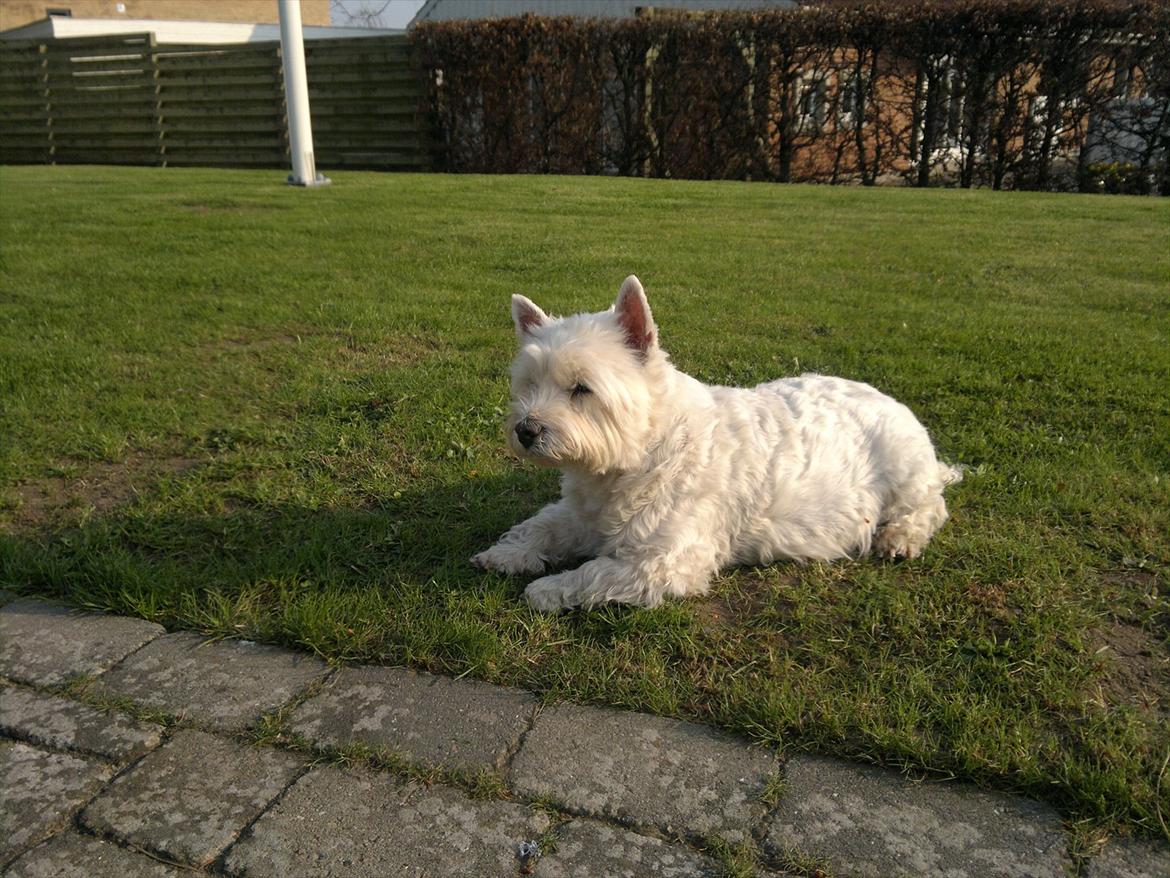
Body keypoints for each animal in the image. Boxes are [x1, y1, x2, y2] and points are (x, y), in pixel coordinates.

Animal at [475, 276, 959, 613]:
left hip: (904, 474)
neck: (639, 456)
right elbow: (542, 525)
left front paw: (545, 588)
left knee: (930, 507)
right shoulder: (581, 515)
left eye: (581, 388)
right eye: (529, 384)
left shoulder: (663, 561)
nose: (526, 430)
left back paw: (898, 538)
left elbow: (592, 573)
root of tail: (889, 400)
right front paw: (505, 553)